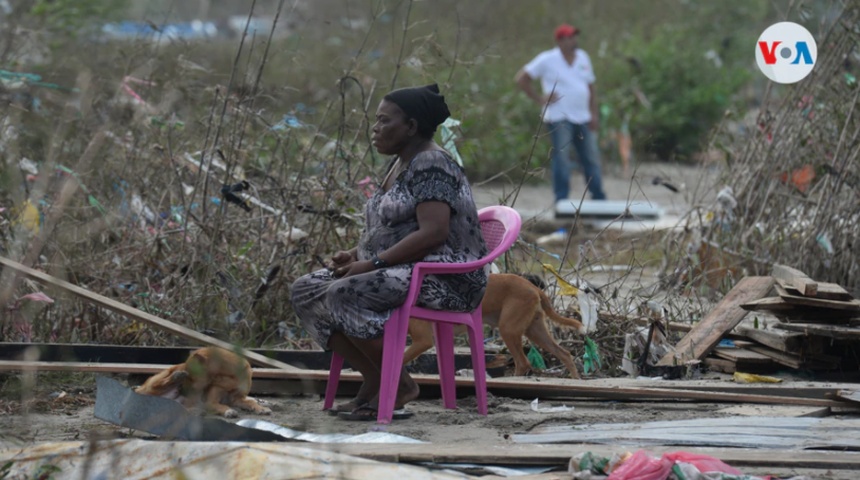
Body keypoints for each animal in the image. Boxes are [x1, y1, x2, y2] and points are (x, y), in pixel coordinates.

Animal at [135, 346, 272, 418]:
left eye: (191, 377)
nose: (181, 390)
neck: (230, 378)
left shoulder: (237, 398)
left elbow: (250, 402)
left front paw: (261, 408)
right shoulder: (211, 402)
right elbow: (221, 405)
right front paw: (228, 410)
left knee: (177, 408)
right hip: (161, 378)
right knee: (158, 384)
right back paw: (176, 377)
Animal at [406, 274, 588, 378]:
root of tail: (533, 287)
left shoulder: (423, 341)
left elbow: (403, 358)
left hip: (508, 330)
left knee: (523, 363)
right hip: (535, 332)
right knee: (564, 354)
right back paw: (575, 379)